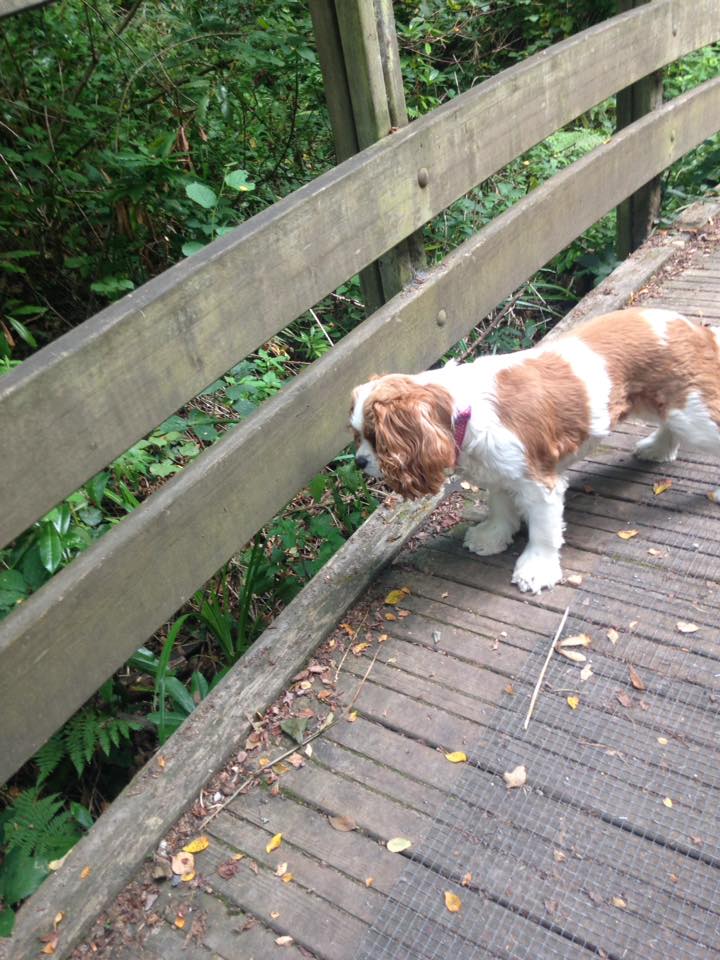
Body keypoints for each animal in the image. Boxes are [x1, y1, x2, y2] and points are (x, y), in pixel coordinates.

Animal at [352, 308, 720, 592]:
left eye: (374, 437)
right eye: (357, 436)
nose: (358, 462)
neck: (461, 410)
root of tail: (692, 327)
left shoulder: (539, 483)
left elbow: (543, 531)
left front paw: (536, 569)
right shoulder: (499, 474)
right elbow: (500, 508)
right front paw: (492, 537)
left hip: (693, 416)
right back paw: (658, 449)